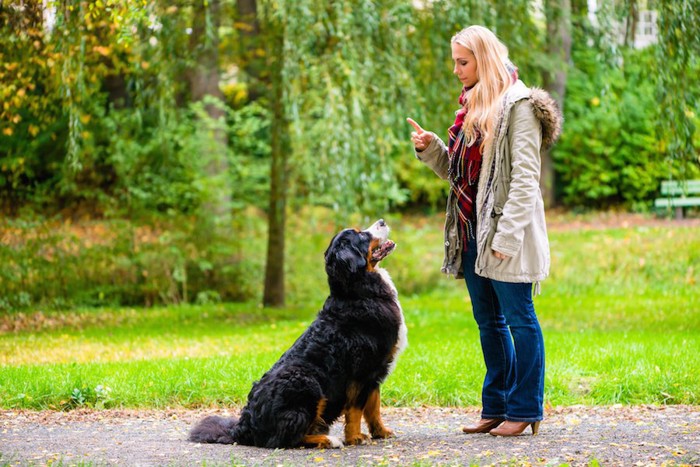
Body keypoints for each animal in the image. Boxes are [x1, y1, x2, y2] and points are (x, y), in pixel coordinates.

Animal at [189, 219, 408, 450]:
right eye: (361, 235)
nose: (382, 221)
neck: (358, 292)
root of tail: (244, 426)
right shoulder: (362, 371)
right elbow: (356, 410)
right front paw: (355, 437)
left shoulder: (375, 372)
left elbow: (374, 408)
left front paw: (381, 432)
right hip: (306, 382)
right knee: (286, 439)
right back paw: (328, 440)